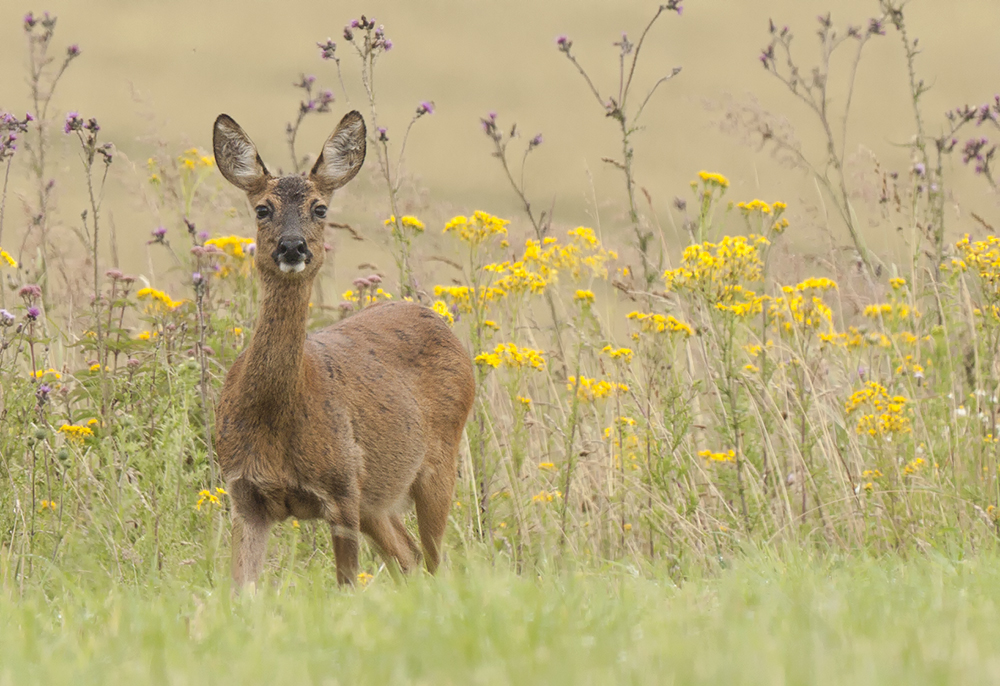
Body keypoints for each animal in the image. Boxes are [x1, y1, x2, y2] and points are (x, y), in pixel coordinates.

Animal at [212, 111, 476, 592]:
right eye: (263, 209)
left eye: (320, 208)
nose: (293, 246)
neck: (276, 416)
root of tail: (434, 318)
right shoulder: (245, 495)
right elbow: (241, 590)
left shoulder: (341, 491)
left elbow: (346, 586)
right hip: (377, 496)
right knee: (408, 556)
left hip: (436, 464)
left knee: (435, 561)